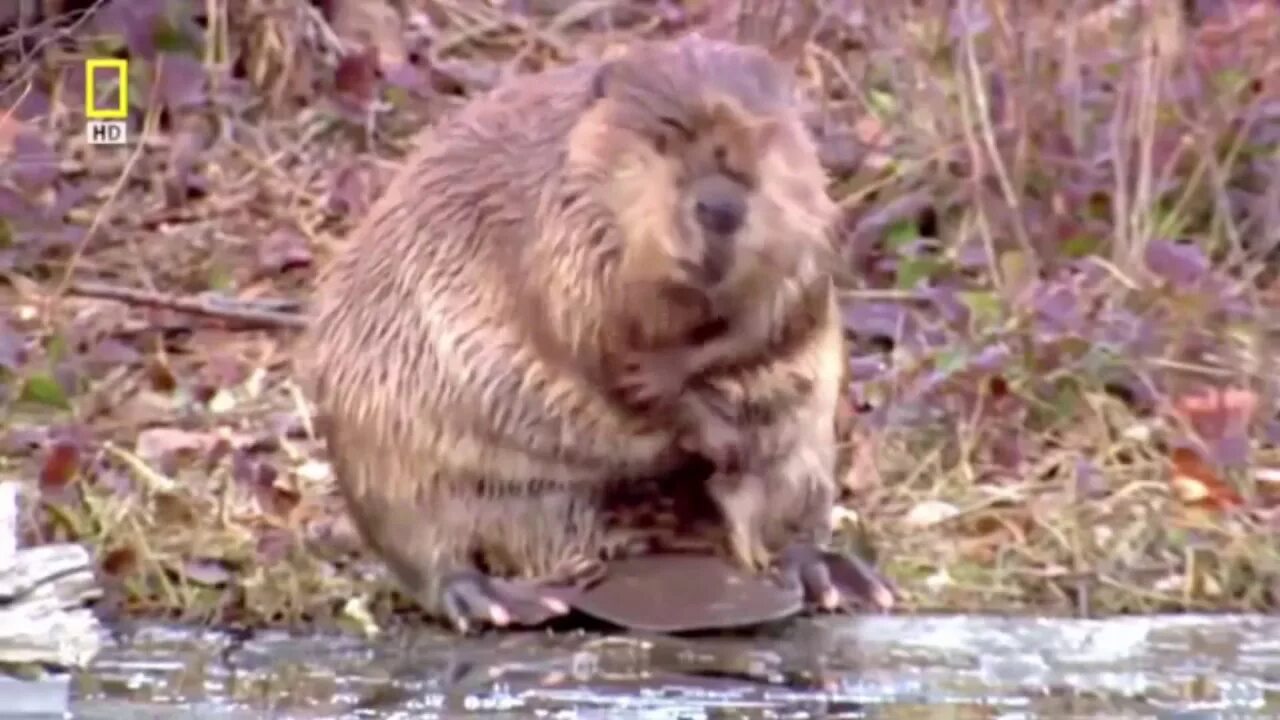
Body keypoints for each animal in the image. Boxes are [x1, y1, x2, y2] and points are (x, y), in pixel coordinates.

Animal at [296, 33, 890, 630]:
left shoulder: (807, 220)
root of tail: (653, 559)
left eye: (765, 138)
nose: (721, 207)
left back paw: (834, 573)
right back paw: (500, 599)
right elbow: (581, 333)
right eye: (663, 134)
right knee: (433, 549)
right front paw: (680, 408)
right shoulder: (551, 224)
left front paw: (701, 411)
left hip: (809, 450)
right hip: (392, 460)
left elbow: (783, 315)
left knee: (787, 506)